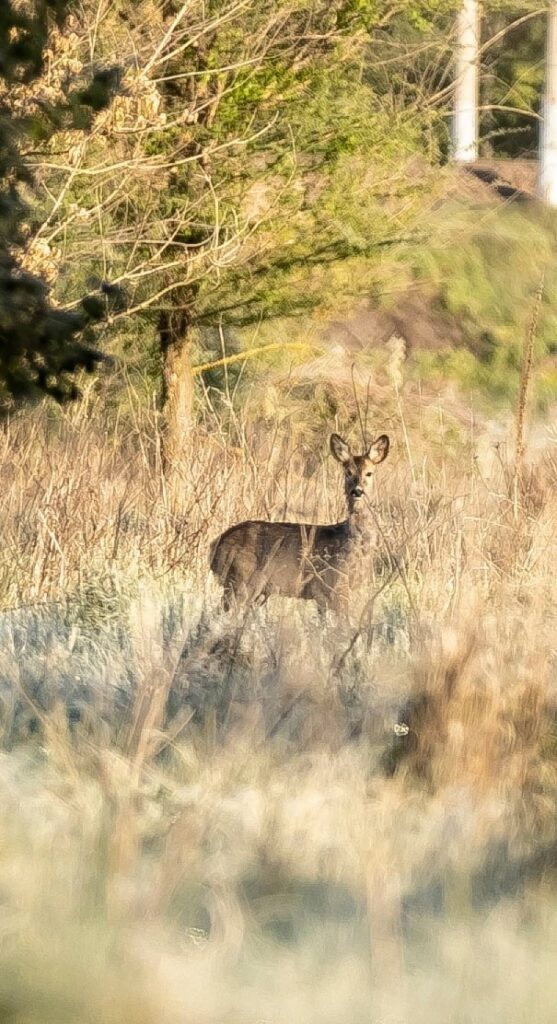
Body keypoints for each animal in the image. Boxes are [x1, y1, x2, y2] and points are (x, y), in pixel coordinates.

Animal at [207, 430, 387, 606]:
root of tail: (215, 546)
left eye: (369, 473)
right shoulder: (335, 585)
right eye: (348, 472)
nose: (357, 491)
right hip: (241, 580)